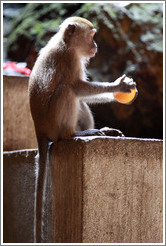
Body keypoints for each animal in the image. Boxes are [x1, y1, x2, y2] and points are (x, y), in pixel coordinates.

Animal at [28, 16, 137, 242]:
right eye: (91, 36)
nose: (95, 45)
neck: (66, 43)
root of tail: (39, 131)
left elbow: (83, 94)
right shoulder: (69, 59)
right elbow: (78, 87)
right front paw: (118, 87)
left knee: (78, 100)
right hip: (53, 124)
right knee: (68, 91)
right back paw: (72, 134)